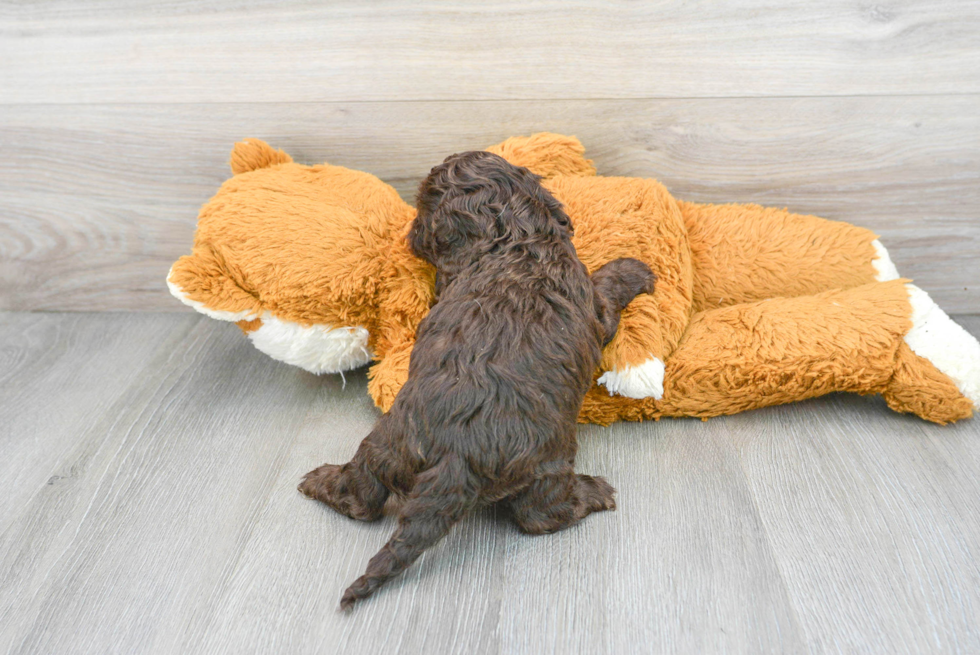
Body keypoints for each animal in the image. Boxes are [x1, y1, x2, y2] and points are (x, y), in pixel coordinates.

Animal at [294, 150, 656, 608]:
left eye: (422, 207)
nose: (409, 232)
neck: (515, 238)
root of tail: (455, 455)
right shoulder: (595, 305)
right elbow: (607, 286)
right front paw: (636, 269)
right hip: (547, 464)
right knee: (539, 515)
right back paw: (592, 493)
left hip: (386, 444)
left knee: (363, 495)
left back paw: (319, 481)